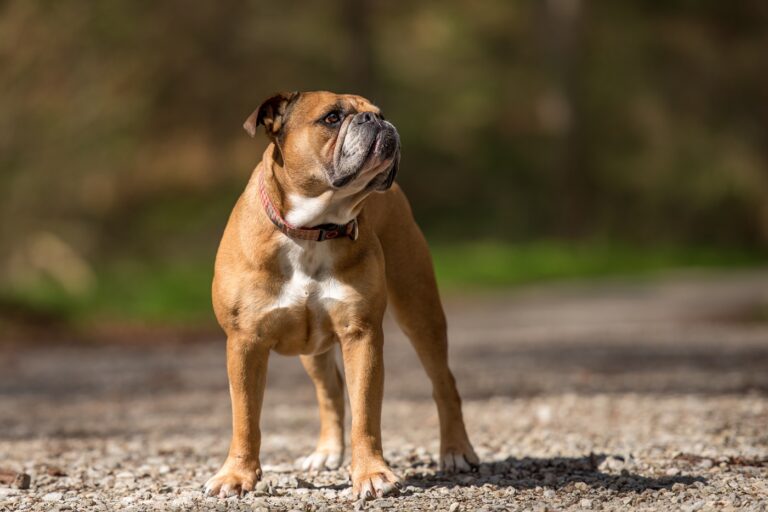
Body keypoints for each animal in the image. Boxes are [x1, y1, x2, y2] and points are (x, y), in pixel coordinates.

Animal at [207, 91, 476, 500]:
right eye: (332, 118)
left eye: (380, 112)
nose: (376, 120)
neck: (312, 229)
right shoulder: (244, 342)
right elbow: (245, 417)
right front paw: (236, 476)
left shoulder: (361, 334)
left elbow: (365, 413)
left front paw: (371, 474)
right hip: (311, 349)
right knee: (329, 389)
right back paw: (326, 452)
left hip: (420, 312)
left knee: (443, 383)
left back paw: (457, 451)